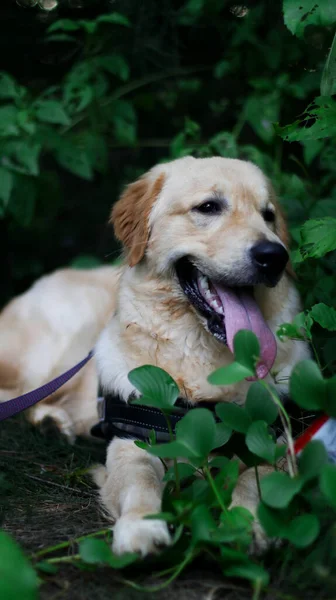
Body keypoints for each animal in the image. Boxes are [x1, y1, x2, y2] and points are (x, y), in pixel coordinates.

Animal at [0, 157, 310, 556]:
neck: (203, 358)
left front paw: (245, 523)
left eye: (268, 215)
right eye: (208, 207)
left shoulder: (275, 440)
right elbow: (140, 481)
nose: (274, 257)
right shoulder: (132, 442)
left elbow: (260, 479)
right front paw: (141, 527)